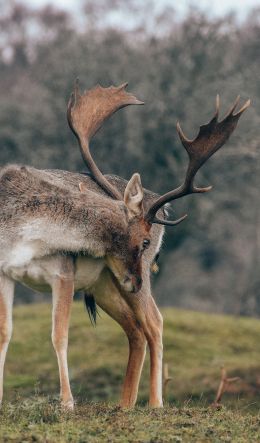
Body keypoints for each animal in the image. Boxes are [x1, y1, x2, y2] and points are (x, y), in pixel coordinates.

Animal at [0, 81, 250, 412]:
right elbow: (5, 333)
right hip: (105, 283)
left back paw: (155, 404)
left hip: (118, 284)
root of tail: (162, 208)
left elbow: (59, 334)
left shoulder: (63, 273)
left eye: (146, 242)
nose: (137, 280)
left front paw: (67, 403)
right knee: (135, 329)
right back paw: (125, 405)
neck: (22, 234)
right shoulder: (4, 271)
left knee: (154, 323)